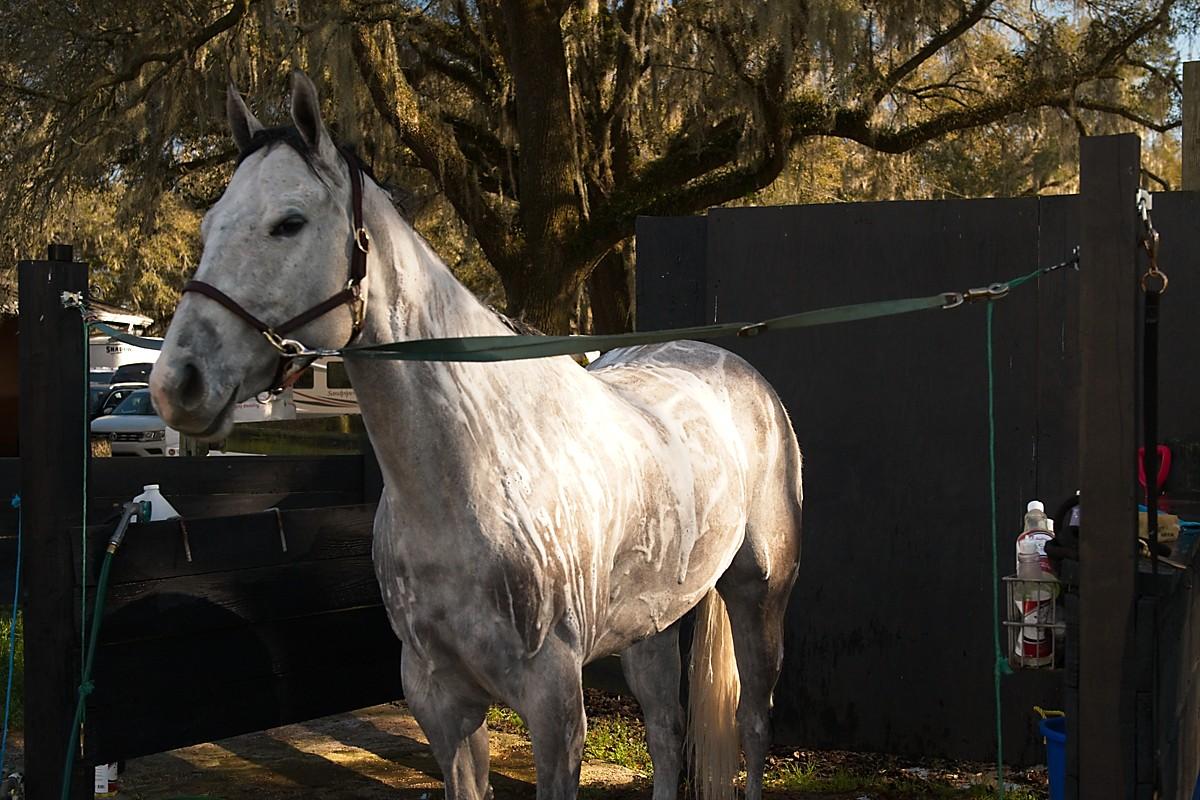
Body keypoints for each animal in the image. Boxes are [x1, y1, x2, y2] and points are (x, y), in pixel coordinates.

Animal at [149, 72, 803, 800]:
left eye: (289, 223)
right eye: (209, 224)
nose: (177, 384)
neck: (477, 472)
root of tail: (731, 365)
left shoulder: (554, 708)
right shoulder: (441, 699)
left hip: (760, 593)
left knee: (752, 723)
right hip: (651, 627)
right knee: (665, 733)